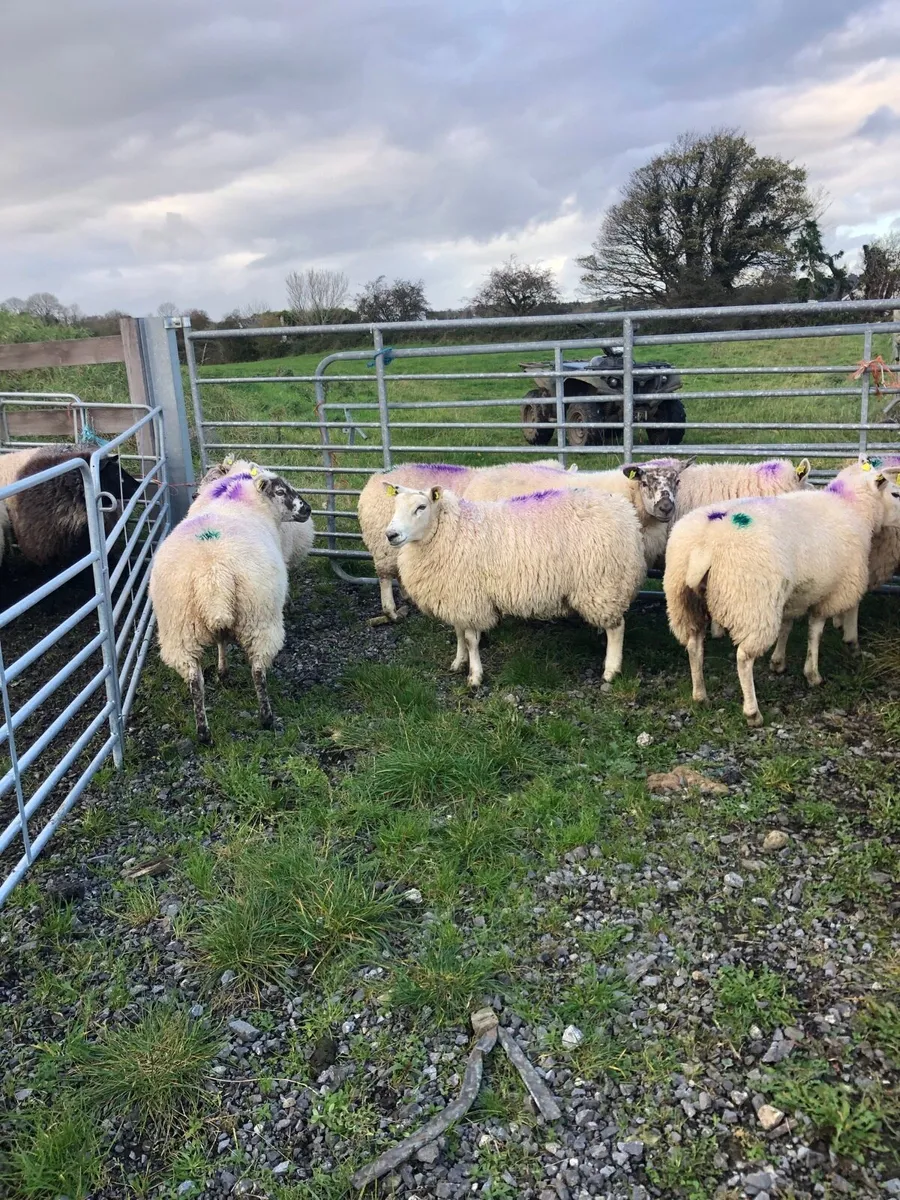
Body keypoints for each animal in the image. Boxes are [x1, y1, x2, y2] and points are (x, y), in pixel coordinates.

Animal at [149, 468, 312, 743]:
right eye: (281, 491)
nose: (308, 509)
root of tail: (212, 574)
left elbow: (221, 640)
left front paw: (222, 671)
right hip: (259, 616)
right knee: (258, 670)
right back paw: (266, 718)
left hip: (180, 629)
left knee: (195, 682)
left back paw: (203, 733)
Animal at [384, 483, 646, 687]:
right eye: (395, 507)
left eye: (421, 507)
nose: (391, 535)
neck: (450, 530)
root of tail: (625, 511)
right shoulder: (455, 597)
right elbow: (458, 633)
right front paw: (458, 662)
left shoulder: (472, 598)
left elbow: (470, 640)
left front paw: (475, 677)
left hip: (603, 583)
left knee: (617, 628)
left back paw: (611, 670)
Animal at [663, 463, 900, 727]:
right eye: (895, 493)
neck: (852, 506)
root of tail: (704, 545)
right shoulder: (833, 591)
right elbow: (816, 631)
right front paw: (813, 673)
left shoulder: (794, 593)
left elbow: (787, 625)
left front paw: (778, 662)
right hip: (751, 603)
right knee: (743, 657)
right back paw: (752, 712)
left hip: (683, 600)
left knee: (694, 645)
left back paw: (700, 695)